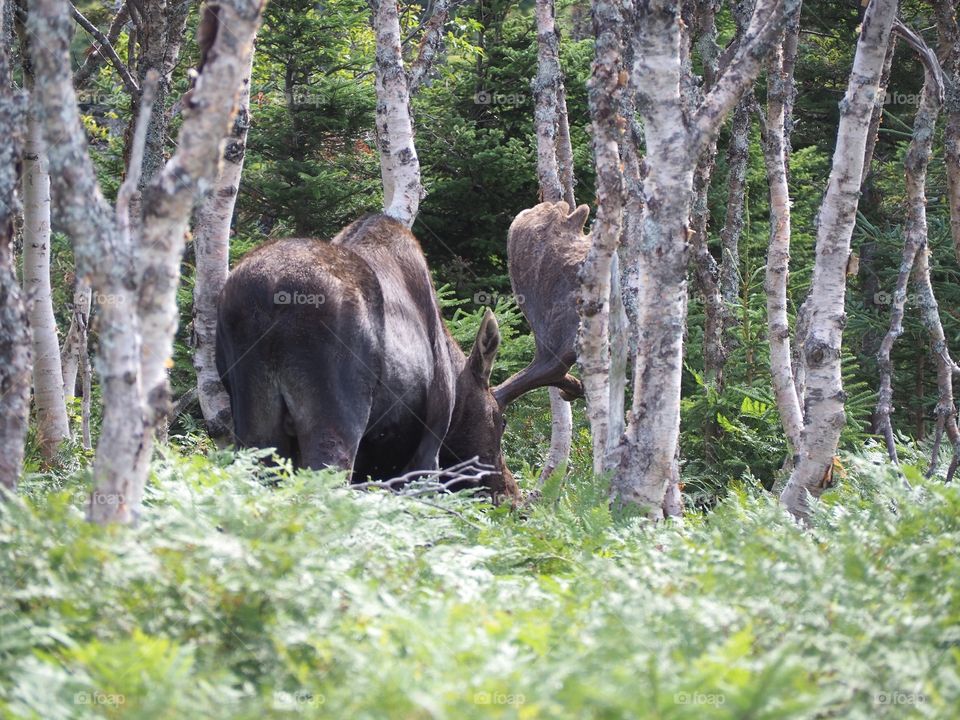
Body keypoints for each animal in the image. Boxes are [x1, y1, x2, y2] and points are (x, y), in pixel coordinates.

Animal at [215, 214, 520, 500]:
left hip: (256, 420)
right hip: (339, 415)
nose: (511, 494)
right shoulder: (430, 442)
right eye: (501, 421)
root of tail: (270, 296)